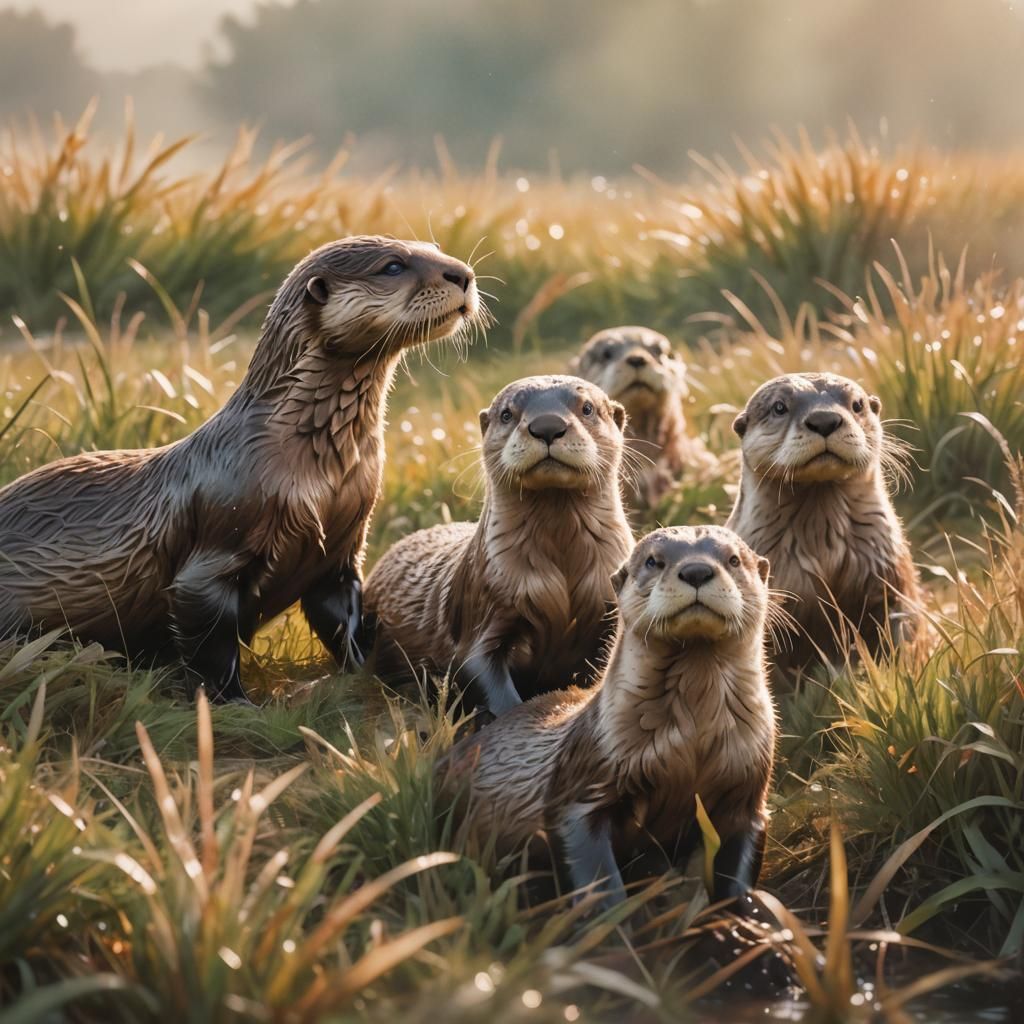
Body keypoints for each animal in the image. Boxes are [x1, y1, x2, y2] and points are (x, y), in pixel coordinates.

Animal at [0, 236, 482, 702]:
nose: (462, 274)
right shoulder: (217, 545)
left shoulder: (342, 550)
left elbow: (343, 618)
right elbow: (210, 640)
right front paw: (234, 702)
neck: (317, 474)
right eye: (393, 266)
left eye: (435, 249)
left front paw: (372, 672)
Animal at [439, 525, 775, 906]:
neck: (691, 744)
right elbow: (591, 868)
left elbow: (738, 861)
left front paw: (744, 910)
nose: (696, 571)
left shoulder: (747, 789)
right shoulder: (585, 780)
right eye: (653, 561)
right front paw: (611, 916)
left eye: (733, 559)